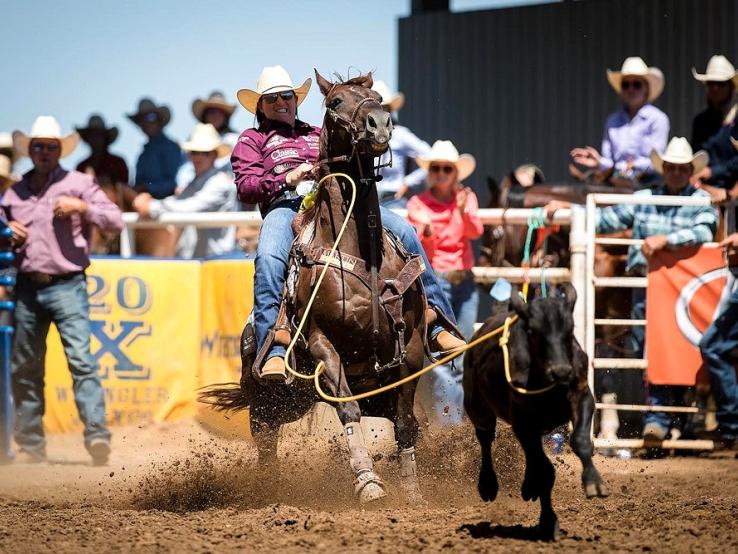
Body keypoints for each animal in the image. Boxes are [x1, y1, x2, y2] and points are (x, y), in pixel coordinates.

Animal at [201, 71, 426, 502]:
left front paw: (412, 492)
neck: (363, 256)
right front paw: (369, 482)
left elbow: (407, 422)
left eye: (377, 97)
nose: (380, 124)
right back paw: (268, 490)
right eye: (336, 102)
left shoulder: (411, 348)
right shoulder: (323, 343)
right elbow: (347, 409)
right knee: (266, 442)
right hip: (272, 400)